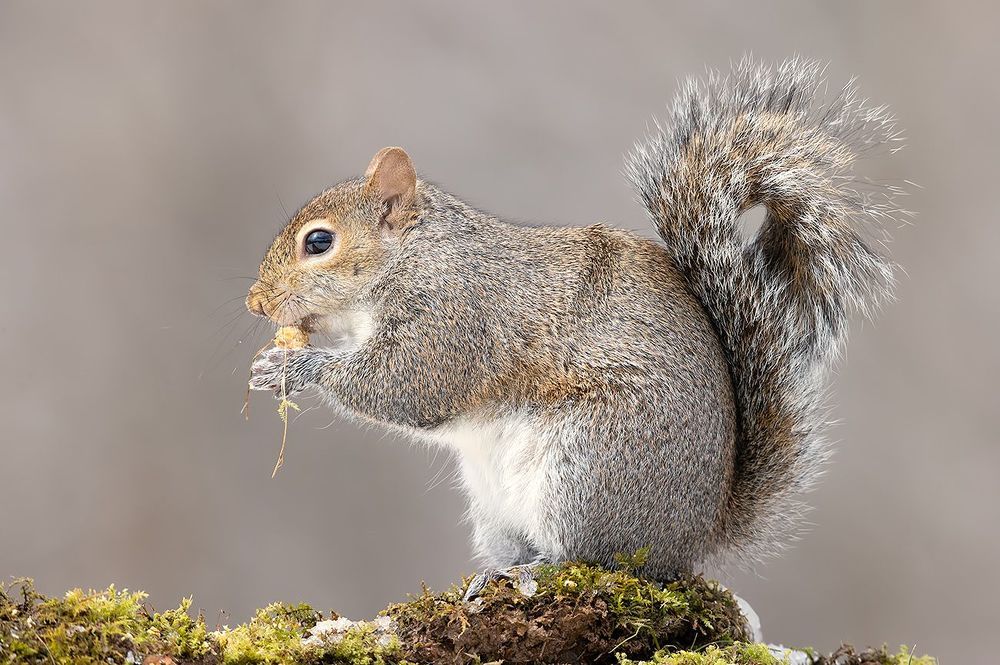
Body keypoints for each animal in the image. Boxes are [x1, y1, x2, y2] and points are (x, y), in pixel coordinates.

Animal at [247, 58, 900, 582]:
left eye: (320, 242)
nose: (257, 303)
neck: (412, 257)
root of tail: (691, 540)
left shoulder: (454, 319)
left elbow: (405, 387)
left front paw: (295, 367)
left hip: (589, 469)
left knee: (591, 556)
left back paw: (535, 571)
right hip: (496, 508)